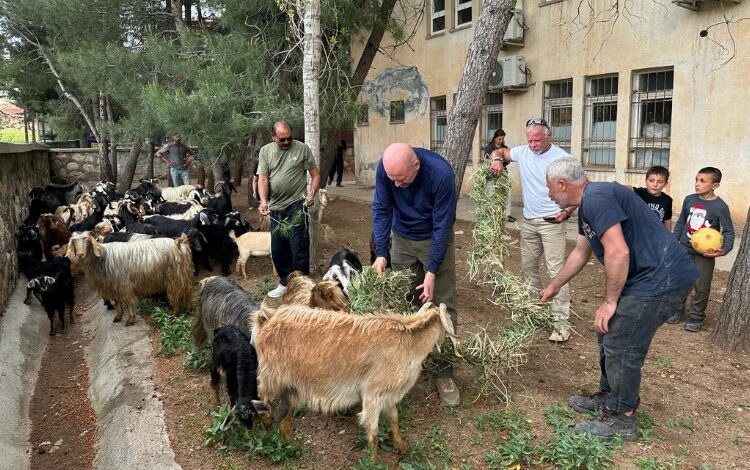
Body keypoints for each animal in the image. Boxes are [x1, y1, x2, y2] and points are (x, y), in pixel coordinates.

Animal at [66, 233, 194, 324]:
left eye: (87, 240)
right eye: (74, 242)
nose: (80, 255)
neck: (103, 257)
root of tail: (178, 243)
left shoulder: (123, 285)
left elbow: (128, 301)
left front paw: (130, 319)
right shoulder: (113, 285)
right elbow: (117, 302)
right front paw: (118, 317)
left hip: (173, 276)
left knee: (176, 296)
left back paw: (174, 313)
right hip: (184, 274)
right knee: (188, 292)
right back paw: (189, 309)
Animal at [251, 302, 458, 458]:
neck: (409, 342)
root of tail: (266, 319)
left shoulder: (388, 394)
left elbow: (394, 418)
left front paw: (401, 444)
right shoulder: (372, 394)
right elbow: (373, 432)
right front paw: (372, 460)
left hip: (289, 384)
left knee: (285, 412)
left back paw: (290, 444)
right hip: (271, 376)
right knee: (262, 397)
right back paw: (266, 423)